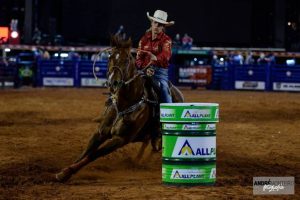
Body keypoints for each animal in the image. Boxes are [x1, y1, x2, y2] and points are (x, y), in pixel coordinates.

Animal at [55, 35, 184, 182]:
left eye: (127, 59)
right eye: (110, 57)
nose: (113, 83)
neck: (126, 104)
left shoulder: (120, 139)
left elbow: (94, 154)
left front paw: (66, 173)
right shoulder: (100, 132)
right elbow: (85, 152)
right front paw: (64, 170)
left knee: (157, 146)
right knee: (148, 142)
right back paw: (137, 161)